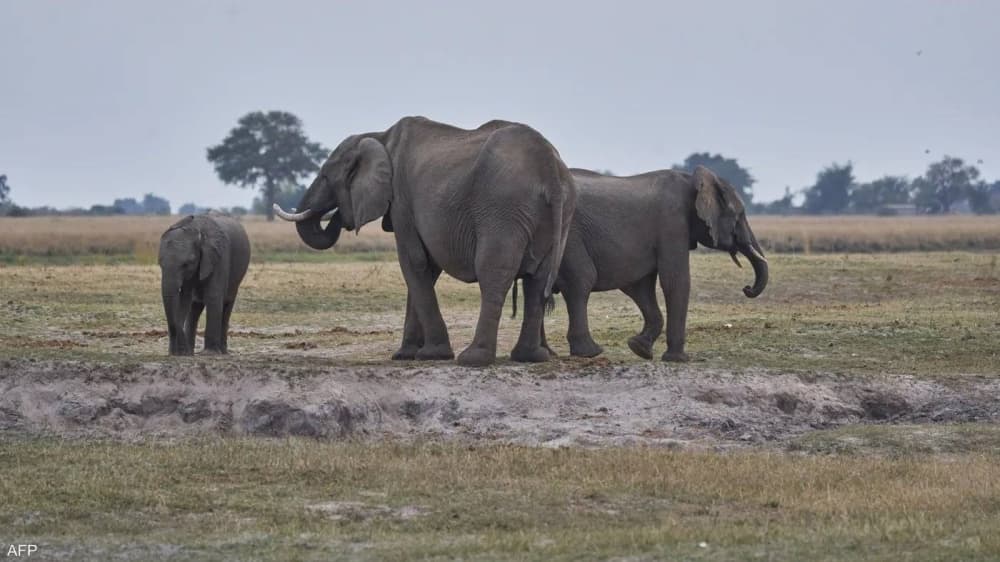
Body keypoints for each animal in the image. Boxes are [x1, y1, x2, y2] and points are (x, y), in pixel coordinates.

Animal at [158, 212, 251, 355]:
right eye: (160, 263)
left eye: (187, 264)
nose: (176, 351)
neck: (196, 228)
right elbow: (185, 299)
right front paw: (181, 354)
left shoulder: (219, 257)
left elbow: (213, 296)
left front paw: (209, 353)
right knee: (194, 307)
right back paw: (191, 352)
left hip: (236, 279)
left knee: (227, 306)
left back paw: (222, 351)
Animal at [275, 116, 576, 367]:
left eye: (326, 175)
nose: (336, 216)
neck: (378, 136)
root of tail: (549, 168)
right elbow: (425, 269)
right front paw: (405, 355)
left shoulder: (401, 201)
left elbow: (414, 262)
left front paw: (432, 355)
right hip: (558, 215)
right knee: (537, 280)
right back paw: (529, 357)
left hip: (502, 208)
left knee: (493, 273)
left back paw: (473, 359)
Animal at [540, 166, 768, 362]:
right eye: (739, 215)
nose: (747, 288)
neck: (692, 180)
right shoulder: (673, 223)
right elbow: (675, 281)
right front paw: (678, 360)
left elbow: (640, 287)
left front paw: (639, 349)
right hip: (568, 236)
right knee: (581, 281)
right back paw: (589, 352)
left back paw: (547, 354)